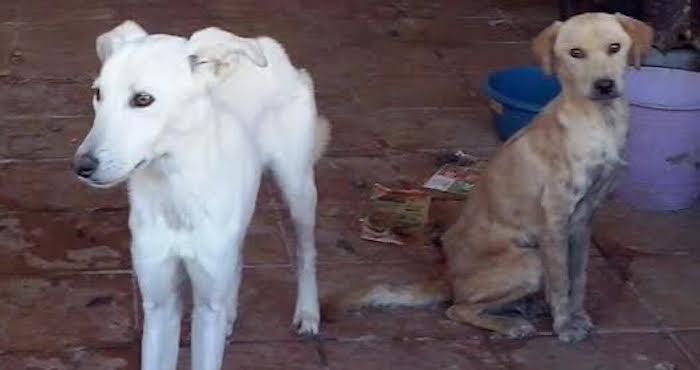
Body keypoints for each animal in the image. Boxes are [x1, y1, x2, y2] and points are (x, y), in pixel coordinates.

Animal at [72, 21, 330, 370]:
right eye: (98, 93)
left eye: (143, 99)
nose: (81, 166)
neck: (175, 193)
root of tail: (266, 44)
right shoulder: (160, 304)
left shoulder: (205, 308)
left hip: (298, 187)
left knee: (306, 253)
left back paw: (308, 312)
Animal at [326, 14, 652, 344]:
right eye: (576, 53)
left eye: (614, 47)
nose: (604, 86)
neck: (601, 121)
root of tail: (447, 278)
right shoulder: (556, 218)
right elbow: (561, 281)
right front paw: (564, 326)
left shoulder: (584, 219)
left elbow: (578, 277)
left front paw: (577, 315)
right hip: (530, 262)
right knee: (458, 309)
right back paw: (510, 323)